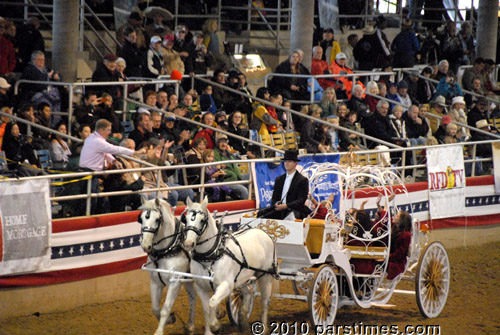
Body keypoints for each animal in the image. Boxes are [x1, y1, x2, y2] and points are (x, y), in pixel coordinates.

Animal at [140, 200, 196, 335]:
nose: (145, 246)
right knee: (193, 297)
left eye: (157, 219)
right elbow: (155, 308)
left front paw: (159, 331)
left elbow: (165, 308)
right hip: (187, 280)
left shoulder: (175, 283)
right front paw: (171, 319)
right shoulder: (155, 282)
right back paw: (191, 326)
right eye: (142, 218)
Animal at [183, 198, 278, 334]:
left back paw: (263, 327)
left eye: (202, 220)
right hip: (243, 278)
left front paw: (216, 326)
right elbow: (206, 309)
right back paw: (243, 322)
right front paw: (210, 329)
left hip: (265, 275)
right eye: (185, 219)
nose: (188, 244)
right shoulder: (201, 287)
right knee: (249, 291)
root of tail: (262, 231)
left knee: (265, 301)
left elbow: (212, 303)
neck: (211, 256)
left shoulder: (227, 285)